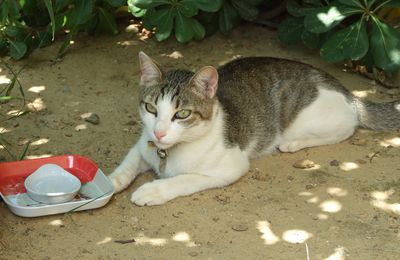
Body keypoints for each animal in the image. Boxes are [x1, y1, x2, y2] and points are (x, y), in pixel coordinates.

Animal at [108, 51, 400, 206]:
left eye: (182, 114)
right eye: (151, 109)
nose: (159, 133)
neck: (168, 153)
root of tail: (348, 92)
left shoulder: (231, 166)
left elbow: (184, 179)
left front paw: (153, 190)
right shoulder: (142, 145)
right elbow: (127, 165)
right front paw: (110, 181)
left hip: (311, 119)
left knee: (347, 127)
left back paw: (293, 143)